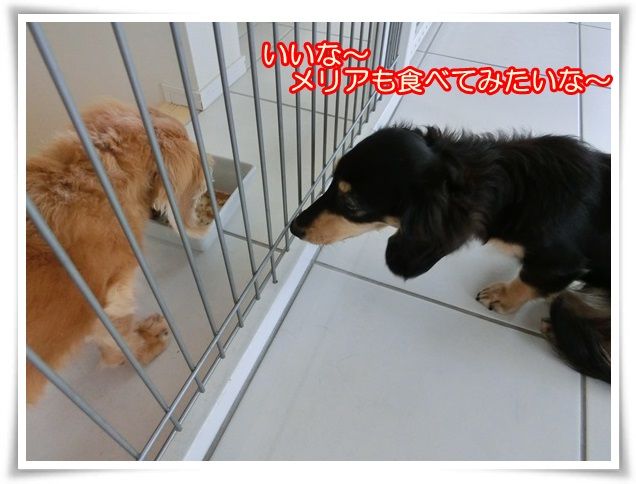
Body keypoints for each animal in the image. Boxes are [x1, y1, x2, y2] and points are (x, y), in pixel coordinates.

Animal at [291, 125, 611, 383]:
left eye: (352, 203)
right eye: (332, 181)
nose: (294, 227)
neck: (516, 191)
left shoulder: (559, 262)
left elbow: (528, 280)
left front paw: (501, 296)